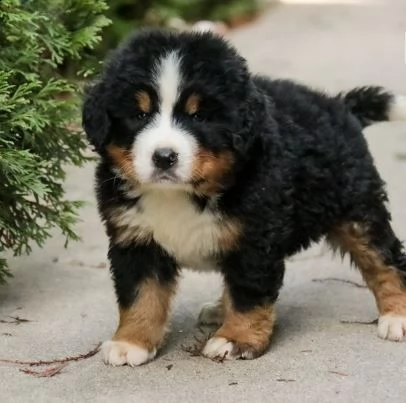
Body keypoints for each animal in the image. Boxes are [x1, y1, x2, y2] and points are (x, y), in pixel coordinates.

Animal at [81, 30, 406, 368]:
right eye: (139, 114)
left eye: (199, 116)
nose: (164, 157)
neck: (181, 194)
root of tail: (340, 106)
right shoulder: (135, 239)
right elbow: (140, 295)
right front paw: (131, 342)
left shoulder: (255, 240)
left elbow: (248, 294)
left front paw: (236, 339)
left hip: (358, 208)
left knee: (385, 260)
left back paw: (397, 316)